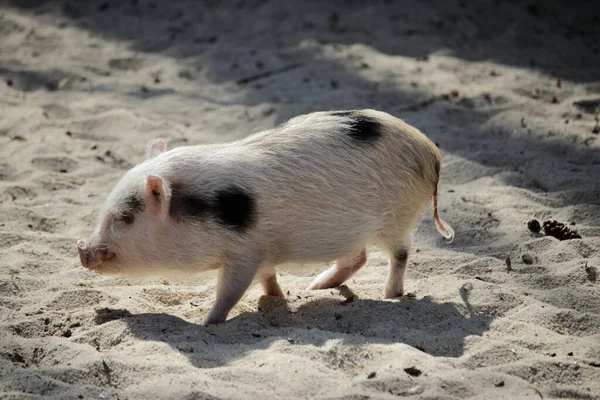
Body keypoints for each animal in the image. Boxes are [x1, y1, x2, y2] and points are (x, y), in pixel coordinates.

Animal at [76, 109, 454, 324]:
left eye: (126, 218)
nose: (82, 249)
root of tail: (431, 151)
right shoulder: (262, 253)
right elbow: (267, 278)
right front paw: (278, 298)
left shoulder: (245, 251)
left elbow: (230, 290)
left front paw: (207, 323)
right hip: (352, 230)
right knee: (357, 256)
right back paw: (316, 286)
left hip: (399, 217)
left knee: (399, 255)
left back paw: (390, 296)